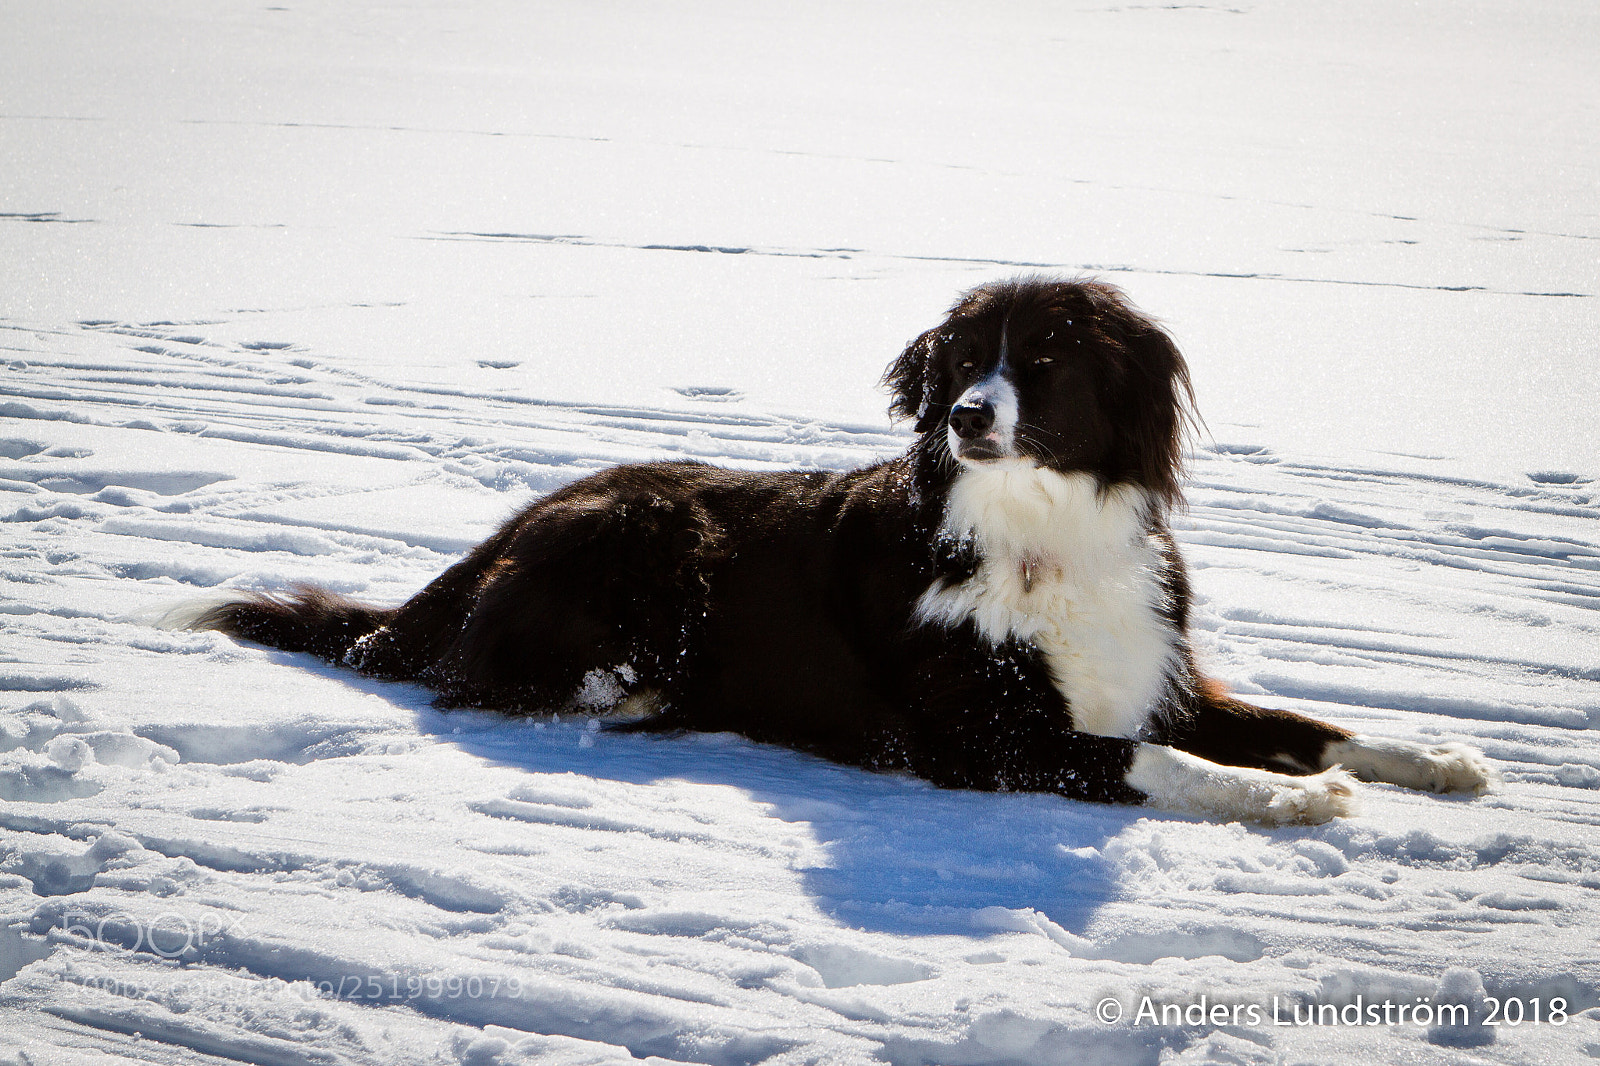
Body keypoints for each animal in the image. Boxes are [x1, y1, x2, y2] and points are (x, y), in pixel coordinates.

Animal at [193, 273, 1491, 819]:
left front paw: (1434, 759)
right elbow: (1160, 763)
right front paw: (1289, 802)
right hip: (645, 538)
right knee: (486, 678)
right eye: (962, 359)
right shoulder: (983, 735)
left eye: (1045, 362)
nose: (965, 415)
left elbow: (1303, 722)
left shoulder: (1159, 674)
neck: (1032, 527)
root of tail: (497, 534)